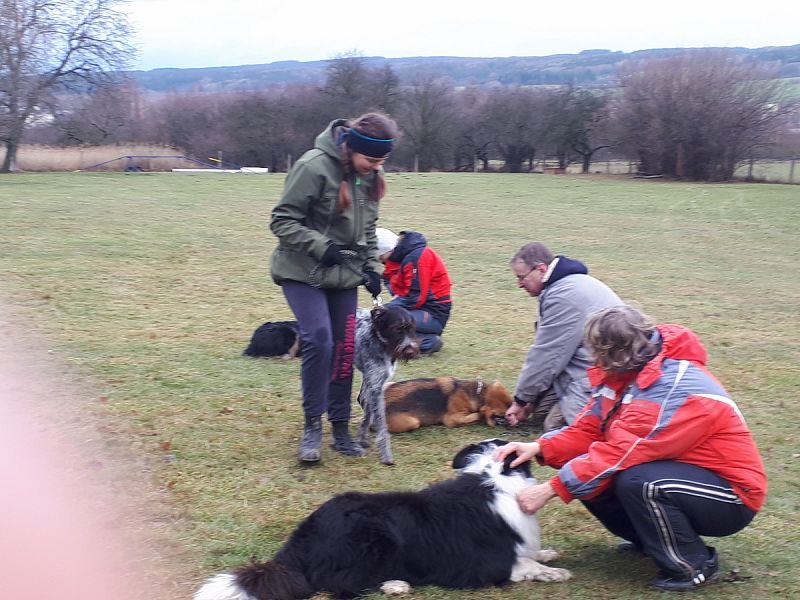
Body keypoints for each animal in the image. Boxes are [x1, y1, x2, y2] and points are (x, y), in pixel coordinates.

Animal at [354, 304, 418, 464]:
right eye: (396, 329)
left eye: (411, 328)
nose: (409, 351)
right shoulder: (375, 386)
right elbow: (382, 425)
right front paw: (385, 455)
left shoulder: (374, 384)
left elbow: (367, 413)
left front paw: (362, 439)